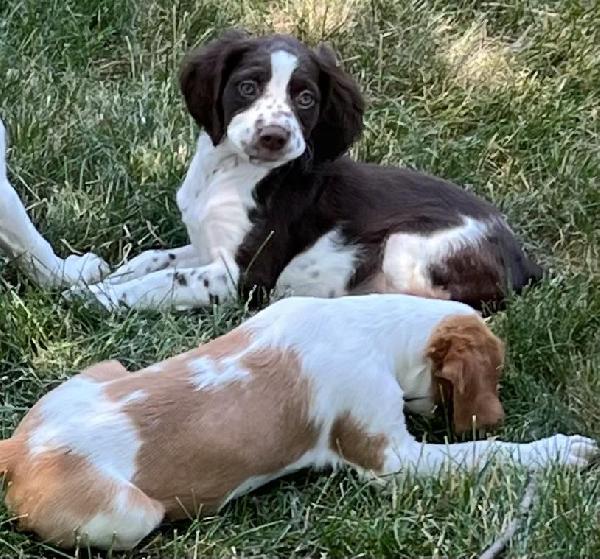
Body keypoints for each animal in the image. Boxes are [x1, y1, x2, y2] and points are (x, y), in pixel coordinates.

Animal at [0, 296, 596, 548]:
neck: (372, 322)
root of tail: (17, 448)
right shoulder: (393, 461)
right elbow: (487, 452)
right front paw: (562, 449)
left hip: (101, 369)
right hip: (127, 515)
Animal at [69, 30, 540, 316]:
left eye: (306, 98)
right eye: (247, 86)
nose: (274, 136)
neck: (230, 171)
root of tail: (526, 261)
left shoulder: (242, 276)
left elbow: (167, 279)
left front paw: (96, 295)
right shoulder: (208, 245)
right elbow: (155, 257)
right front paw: (107, 275)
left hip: (406, 246)